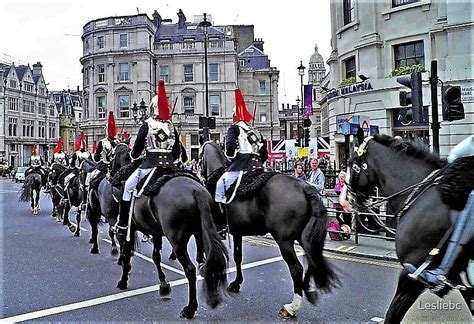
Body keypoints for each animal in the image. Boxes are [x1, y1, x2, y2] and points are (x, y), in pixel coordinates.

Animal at [198, 142, 338, 318]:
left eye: (199, 157)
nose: (199, 173)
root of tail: (305, 187)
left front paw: (204, 266)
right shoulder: (237, 231)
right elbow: (238, 256)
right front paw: (236, 283)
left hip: (284, 240)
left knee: (296, 268)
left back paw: (292, 307)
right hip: (304, 236)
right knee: (312, 260)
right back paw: (309, 291)